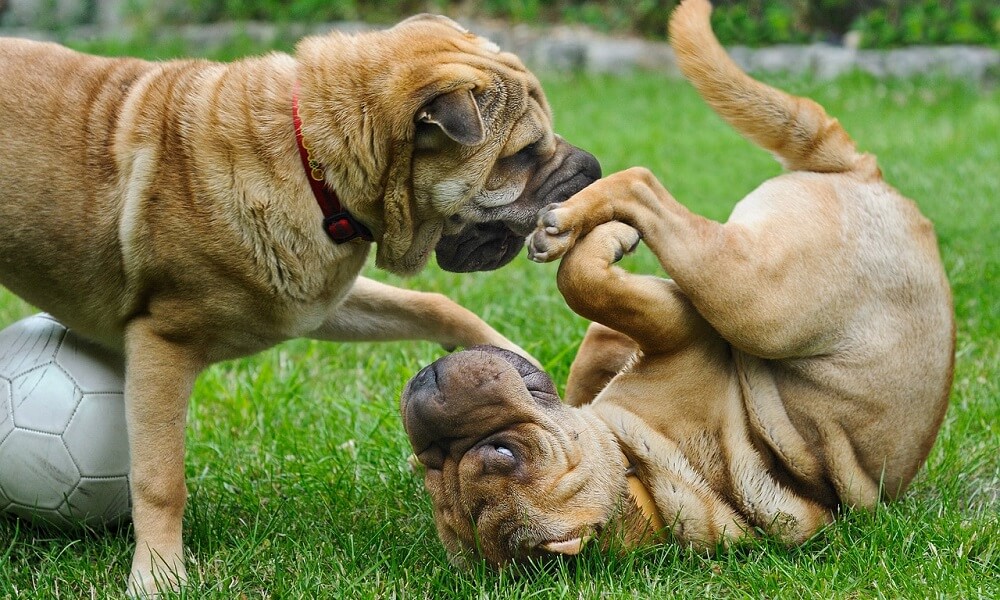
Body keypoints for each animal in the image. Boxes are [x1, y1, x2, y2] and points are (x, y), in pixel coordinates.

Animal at [0, 14, 596, 596]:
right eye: (522, 154)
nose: (592, 168)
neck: (312, 158)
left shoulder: (316, 301)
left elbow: (433, 304)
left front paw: (521, 365)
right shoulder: (162, 343)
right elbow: (160, 477)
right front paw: (158, 575)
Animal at [400, 0, 952, 568]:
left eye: (502, 453)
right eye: (436, 467)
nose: (428, 387)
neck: (641, 482)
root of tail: (864, 173)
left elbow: (589, 301)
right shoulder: (677, 329)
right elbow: (581, 280)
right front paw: (607, 239)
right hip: (753, 296)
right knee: (644, 185)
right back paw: (576, 221)